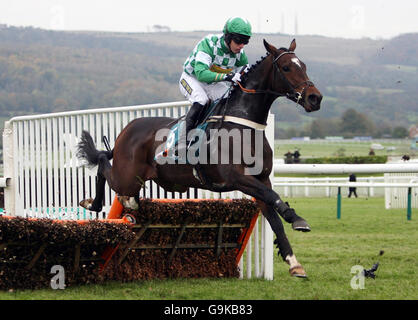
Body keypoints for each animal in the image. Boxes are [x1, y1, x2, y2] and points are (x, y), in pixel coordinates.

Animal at [76, 38, 324, 278]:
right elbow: (273, 197)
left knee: (124, 191)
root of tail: (126, 130)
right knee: (103, 165)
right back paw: (92, 202)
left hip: (133, 181)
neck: (243, 125)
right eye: (286, 67)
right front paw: (296, 219)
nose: (315, 98)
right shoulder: (237, 177)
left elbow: (274, 216)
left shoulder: (261, 179)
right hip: (126, 176)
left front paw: (294, 263)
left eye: (304, 66)